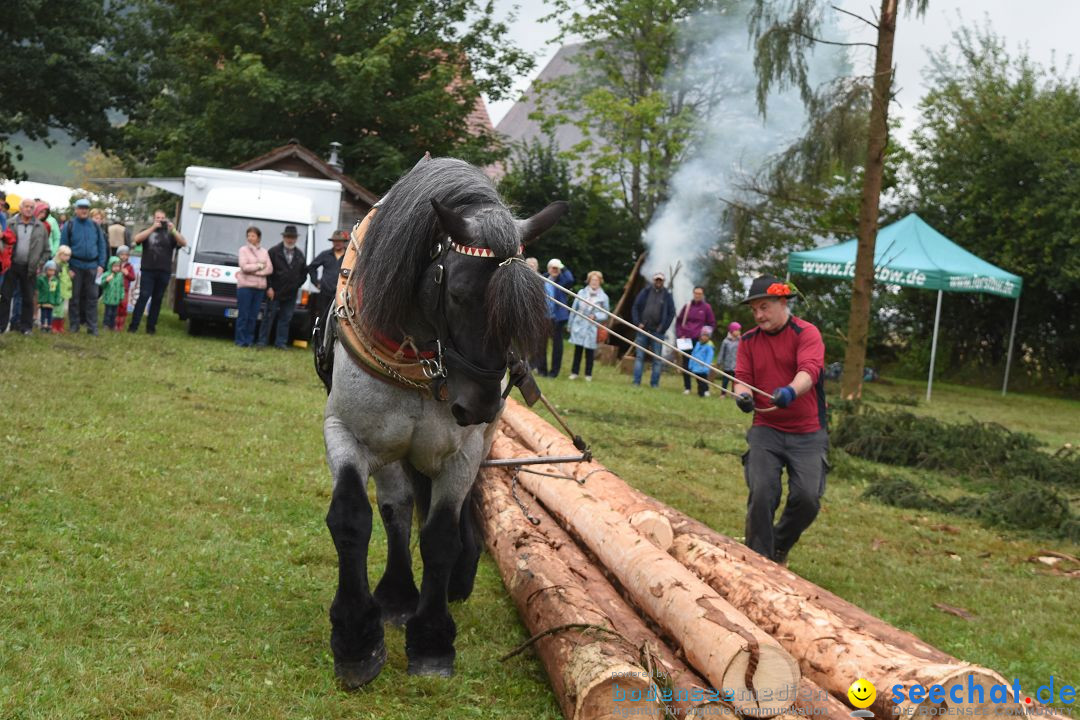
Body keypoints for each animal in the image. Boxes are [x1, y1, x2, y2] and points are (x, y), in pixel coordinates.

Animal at [313, 156, 565, 686]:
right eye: (462, 295)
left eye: (526, 309)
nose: (481, 406)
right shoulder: (347, 433)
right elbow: (352, 516)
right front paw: (356, 638)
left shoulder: (463, 452)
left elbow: (440, 534)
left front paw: (431, 639)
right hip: (393, 447)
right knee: (396, 506)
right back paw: (395, 594)